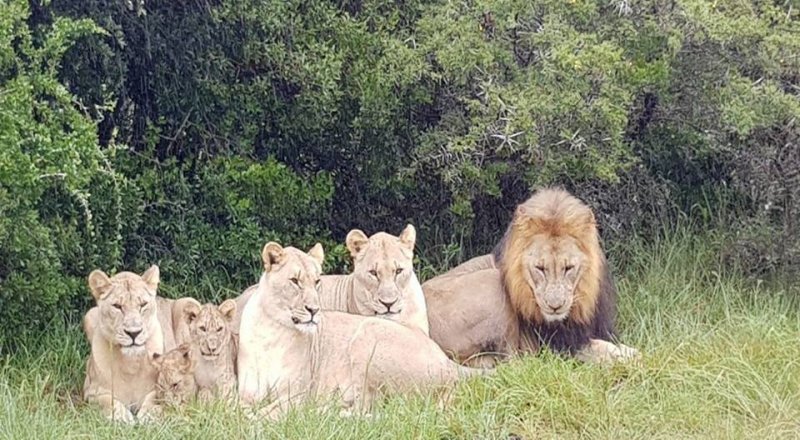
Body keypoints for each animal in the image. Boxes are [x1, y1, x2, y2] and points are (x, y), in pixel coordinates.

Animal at [82, 264, 173, 422]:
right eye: (117, 306)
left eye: (143, 304)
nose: (133, 333)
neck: (131, 364)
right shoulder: (90, 392)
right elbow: (107, 400)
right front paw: (121, 416)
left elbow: (155, 397)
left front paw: (148, 415)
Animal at [238, 242, 488, 418]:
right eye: (294, 281)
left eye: (317, 281)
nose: (314, 309)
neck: (272, 331)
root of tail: (446, 361)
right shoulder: (245, 394)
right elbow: (237, 411)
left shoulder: (298, 394)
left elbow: (268, 413)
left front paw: (258, 420)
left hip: (367, 335)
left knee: (369, 409)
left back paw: (323, 412)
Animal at [424, 188, 636, 364]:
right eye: (540, 268)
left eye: (568, 268)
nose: (555, 306)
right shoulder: (559, 345)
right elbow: (602, 349)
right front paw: (630, 359)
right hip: (492, 282)